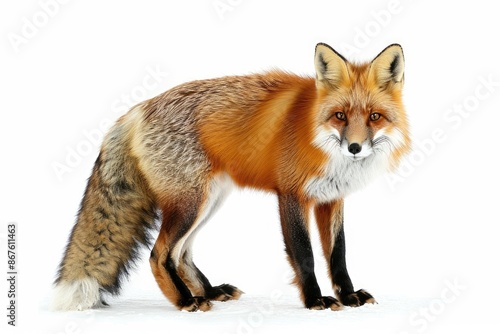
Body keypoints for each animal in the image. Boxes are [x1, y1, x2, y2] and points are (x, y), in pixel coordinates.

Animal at [51, 43, 410, 312]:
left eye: (374, 117)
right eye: (340, 116)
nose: (354, 147)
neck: (318, 139)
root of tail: (137, 109)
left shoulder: (331, 198)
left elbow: (338, 255)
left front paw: (348, 295)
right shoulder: (292, 195)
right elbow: (305, 255)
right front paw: (314, 300)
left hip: (209, 200)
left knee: (181, 254)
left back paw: (208, 292)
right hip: (191, 203)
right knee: (160, 254)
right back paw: (185, 301)